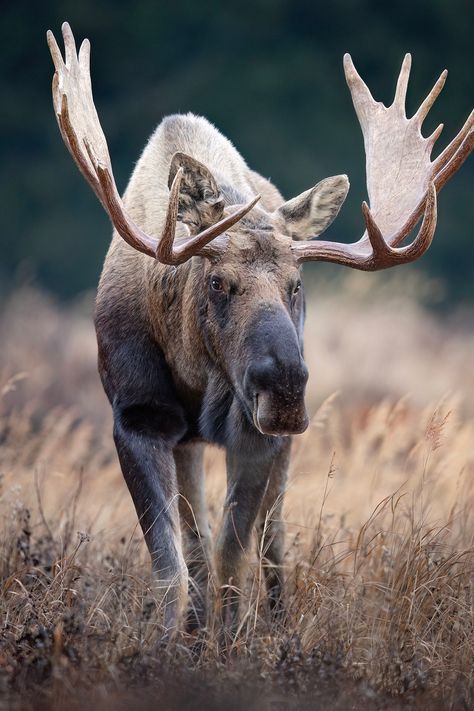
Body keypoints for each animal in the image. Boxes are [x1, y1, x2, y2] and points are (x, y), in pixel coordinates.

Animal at [47, 23, 470, 636]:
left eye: (297, 284)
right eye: (218, 282)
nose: (286, 386)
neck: (194, 371)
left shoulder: (255, 433)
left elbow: (232, 554)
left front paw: (228, 642)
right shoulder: (137, 416)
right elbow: (175, 563)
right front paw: (172, 642)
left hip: (278, 445)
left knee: (272, 540)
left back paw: (275, 621)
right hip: (190, 442)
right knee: (199, 538)